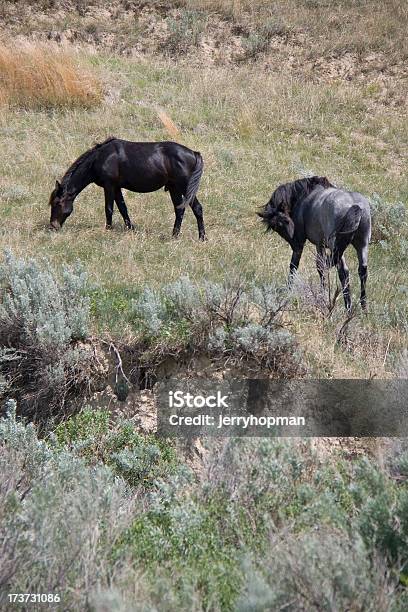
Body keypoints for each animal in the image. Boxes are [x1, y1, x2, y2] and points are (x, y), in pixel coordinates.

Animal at [49, 137, 206, 240]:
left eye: (57, 203)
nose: (52, 226)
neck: (101, 158)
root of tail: (194, 153)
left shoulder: (109, 185)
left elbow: (109, 208)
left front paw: (108, 229)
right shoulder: (117, 187)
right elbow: (123, 208)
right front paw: (131, 229)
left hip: (185, 186)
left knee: (197, 208)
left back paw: (202, 237)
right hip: (174, 188)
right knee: (179, 210)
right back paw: (174, 235)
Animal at [260, 176, 372, 310]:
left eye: (283, 222)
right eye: (276, 227)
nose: (295, 243)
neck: (305, 197)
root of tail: (355, 206)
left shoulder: (314, 244)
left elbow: (297, 265)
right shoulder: (320, 244)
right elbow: (320, 266)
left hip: (336, 247)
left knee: (344, 272)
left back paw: (348, 307)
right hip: (362, 245)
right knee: (362, 271)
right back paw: (363, 307)